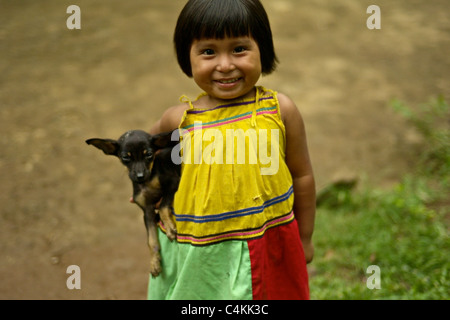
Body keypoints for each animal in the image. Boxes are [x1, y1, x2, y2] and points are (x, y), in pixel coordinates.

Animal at [85, 129, 179, 276]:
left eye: (149, 154)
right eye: (126, 157)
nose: (140, 176)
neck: (146, 182)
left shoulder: (173, 183)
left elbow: (163, 206)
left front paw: (169, 226)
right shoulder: (147, 212)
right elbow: (151, 241)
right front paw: (154, 261)